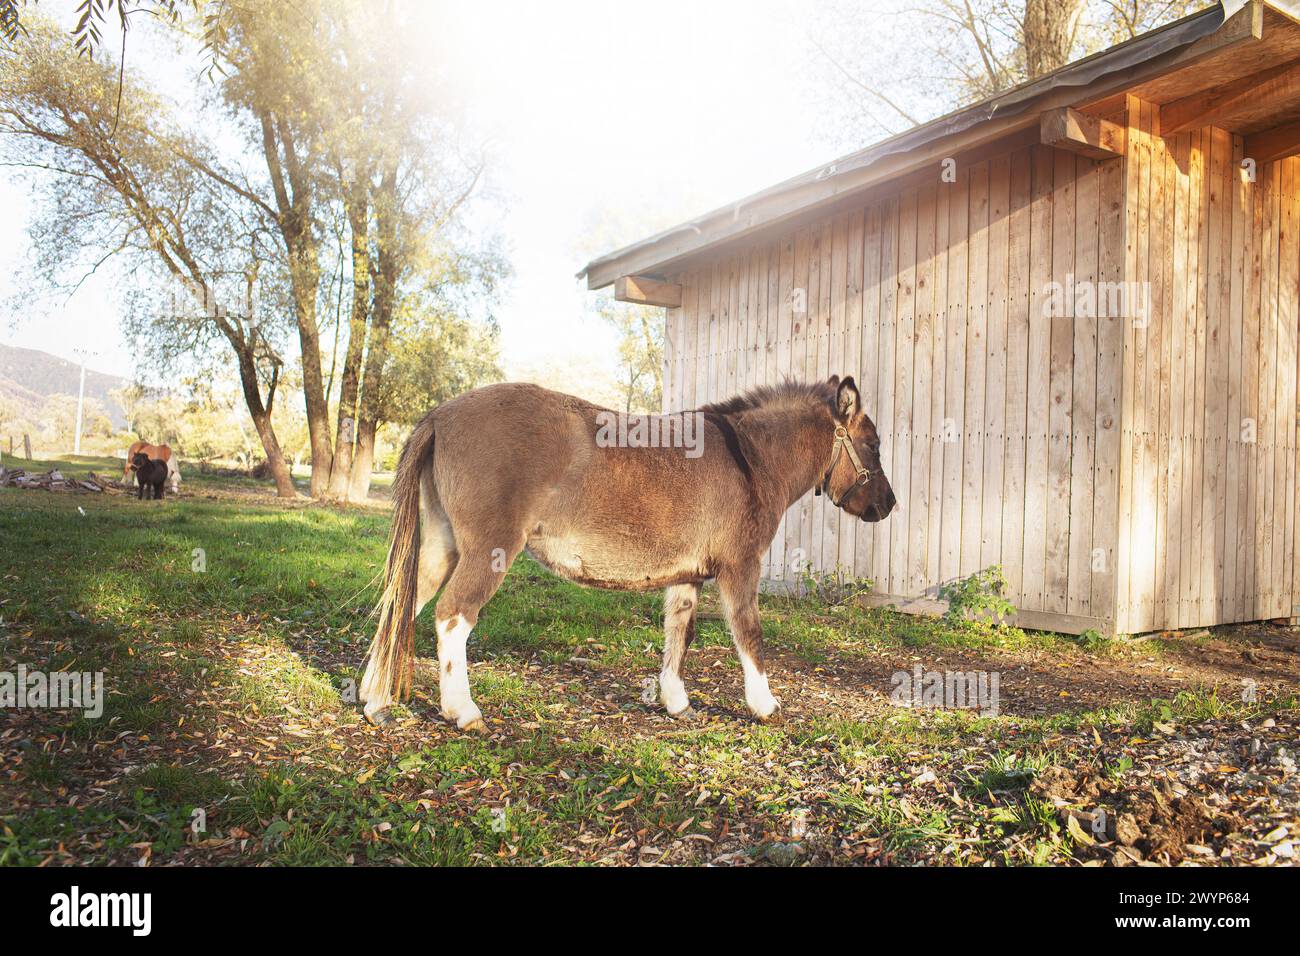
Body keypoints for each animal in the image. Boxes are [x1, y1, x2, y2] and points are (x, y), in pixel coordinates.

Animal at [361, 377, 899, 728]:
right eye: (873, 443)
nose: (889, 505)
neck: (747, 458)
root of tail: (441, 414)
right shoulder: (740, 568)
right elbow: (749, 635)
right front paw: (763, 705)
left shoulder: (686, 575)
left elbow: (679, 633)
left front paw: (676, 701)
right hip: (487, 550)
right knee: (452, 615)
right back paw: (462, 710)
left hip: (444, 546)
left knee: (403, 603)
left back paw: (374, 696)